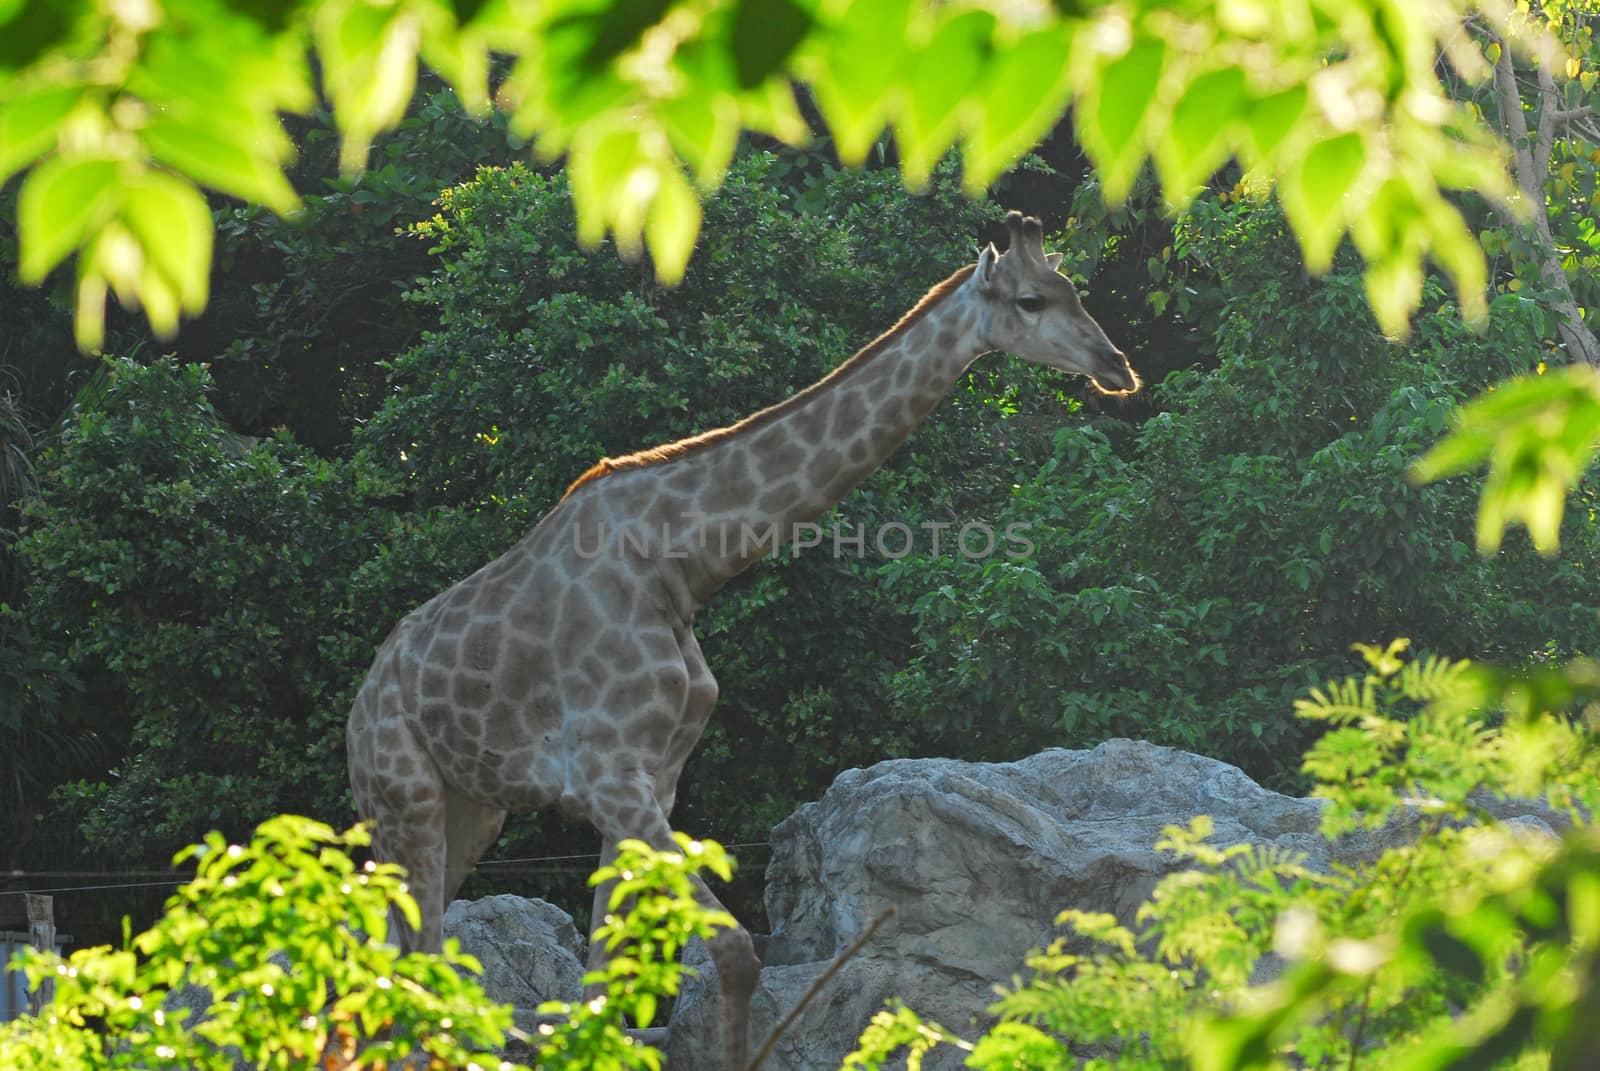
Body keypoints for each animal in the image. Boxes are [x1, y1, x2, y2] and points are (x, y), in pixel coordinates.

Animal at [347, 211, 1139, 1069]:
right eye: (1031, 300)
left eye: (1074, 289)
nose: (1118, 366)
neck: (683, 565)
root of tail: (360, 704)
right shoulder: (608, 776)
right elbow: (731, 951)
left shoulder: (651, 779)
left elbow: (601, 986)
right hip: (404, 793)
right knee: (411, 968)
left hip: (473, 808)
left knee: (398, 964)